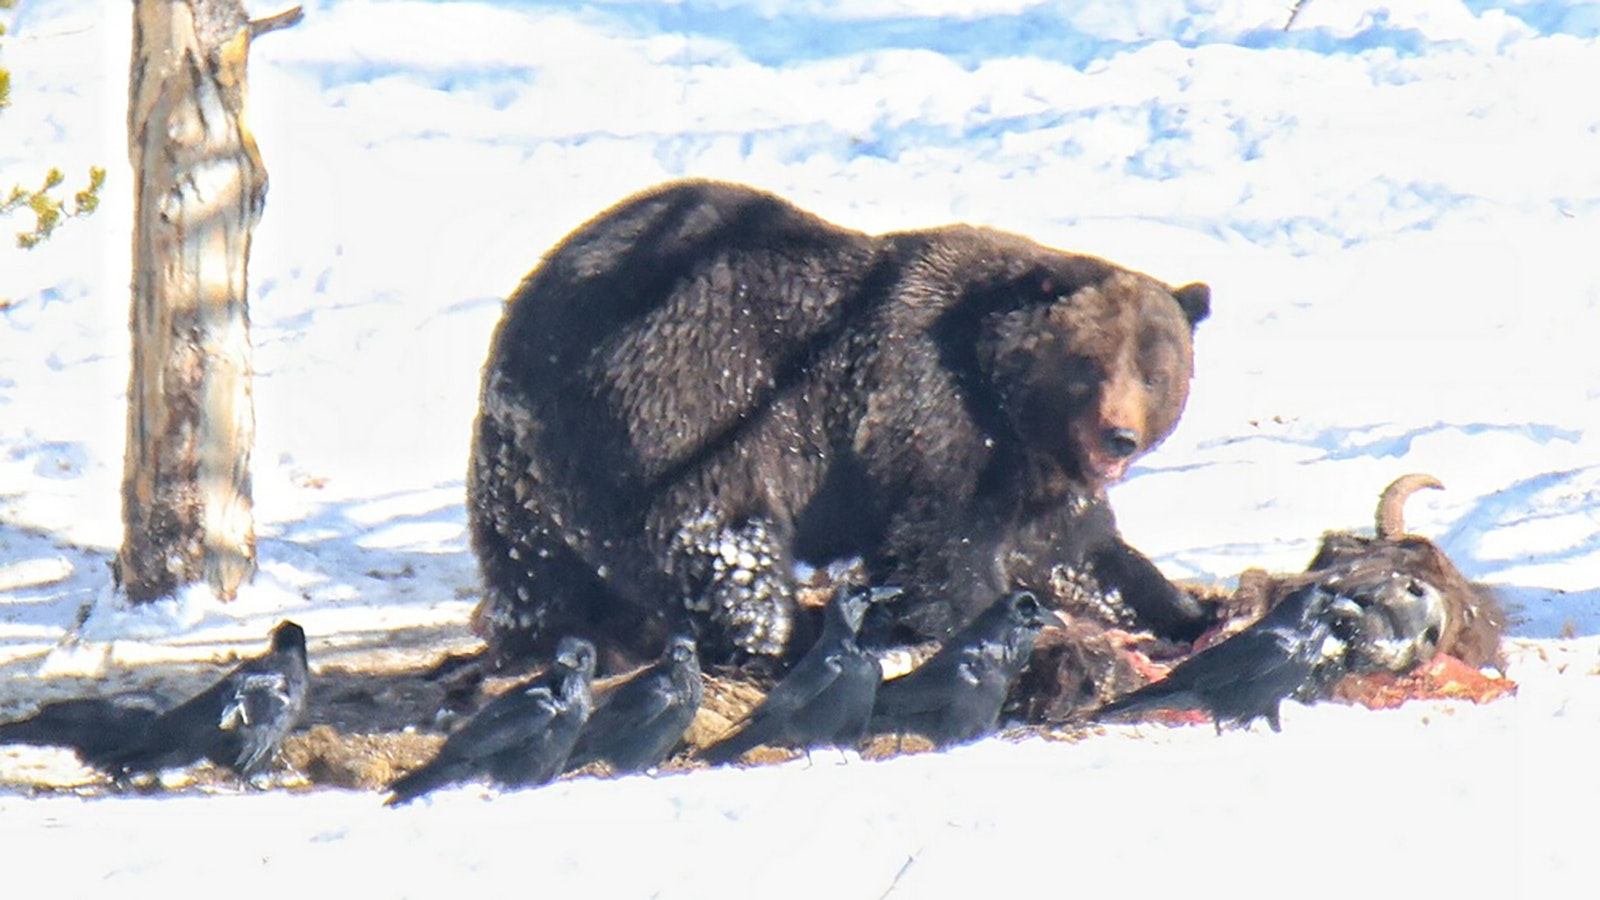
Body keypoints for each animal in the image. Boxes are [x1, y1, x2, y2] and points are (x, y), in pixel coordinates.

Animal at [467, 179, 1212, 673]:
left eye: (1154, 372)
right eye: (1087, 366)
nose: (1118, 437)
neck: (1007, 402)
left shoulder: (1035, 477)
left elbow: (1081, 553)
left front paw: (1182, 608)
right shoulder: (934, 419)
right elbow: (943, 551)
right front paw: (983, 622)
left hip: (516, 469)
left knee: (535, 572)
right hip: (684, 398)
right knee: (721, 539)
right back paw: (776, 639)